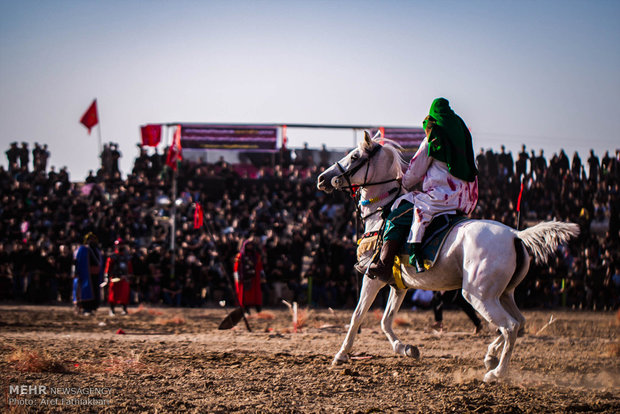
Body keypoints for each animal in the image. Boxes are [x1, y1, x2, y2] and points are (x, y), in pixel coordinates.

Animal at [318, 133, 580, 382]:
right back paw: (490, 356)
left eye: (354, 156)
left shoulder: (373, 278)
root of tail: (516, 235)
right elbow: (386, 320)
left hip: (478, 295)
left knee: (509, 326)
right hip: (503, 295)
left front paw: (341, 355)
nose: (322, 178)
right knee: (518, 322)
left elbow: (357, 315)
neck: (381, 214)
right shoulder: (398, 285)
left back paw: (496, 373)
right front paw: (406, 348)